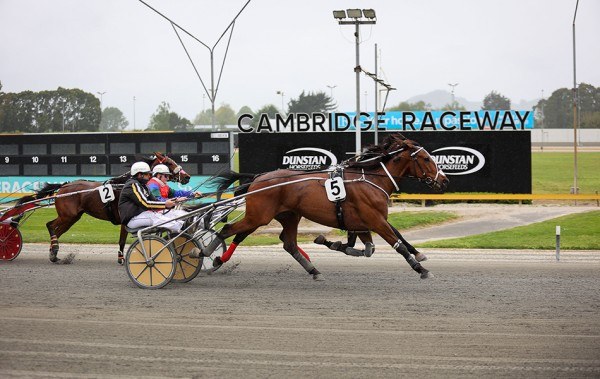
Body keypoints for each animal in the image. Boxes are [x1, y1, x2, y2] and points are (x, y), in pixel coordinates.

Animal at [15, 152, 190, 264]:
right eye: (169, 163)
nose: (187, 177)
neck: (124, 185)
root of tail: (63, 187)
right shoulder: (124, 220)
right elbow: (121, 241)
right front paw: (121, 259)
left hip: (73, 218)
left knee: (57, 232)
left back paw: (54, 253)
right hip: (67, 216)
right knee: (50, 225)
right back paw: (54, 249)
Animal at [204, 133, 448, 280]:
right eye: (426, 159)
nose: (444, 180)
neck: (370, 179)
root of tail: (258, 177)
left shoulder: (362, 223)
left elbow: (369, 248)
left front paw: (332, 243)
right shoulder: (375, 220)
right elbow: (397, 244)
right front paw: (422, 269)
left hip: (287, 216)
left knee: (287, 243)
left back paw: (314, 271)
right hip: (259, 216)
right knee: (228, 230)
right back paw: (209, 254)